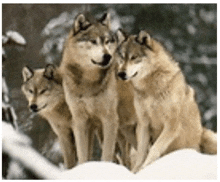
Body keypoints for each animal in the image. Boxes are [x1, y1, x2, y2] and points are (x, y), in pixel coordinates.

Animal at [59, 12, 137, 164]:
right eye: (93, 41)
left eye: (107, 41)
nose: (107, 56)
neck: (89, 82)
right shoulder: (80, 121)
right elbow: (83, 156)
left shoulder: (109, 119)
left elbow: (106, 154)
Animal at [115, 29, 217, 172]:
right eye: (122, 57)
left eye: (134, 57)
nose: (121, 73)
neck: (151, 88)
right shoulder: (143, 124)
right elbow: (142, 152)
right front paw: (136, 172)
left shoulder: (171, 125)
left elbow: (154, 149)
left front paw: (145, 168)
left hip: (209, 137)